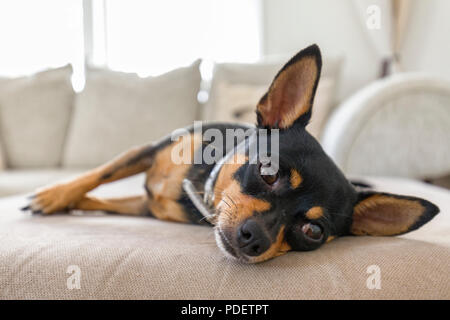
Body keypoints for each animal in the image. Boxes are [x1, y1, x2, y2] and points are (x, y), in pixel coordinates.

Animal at [22, 44, 440, 262]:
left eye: (313, 231)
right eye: (268, 173)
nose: (255, 239)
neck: (197, 186)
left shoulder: (147, 207)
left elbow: (103, 198)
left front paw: (65, 202)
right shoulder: (147, 150)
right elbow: (99, 174)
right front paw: (55, 197)